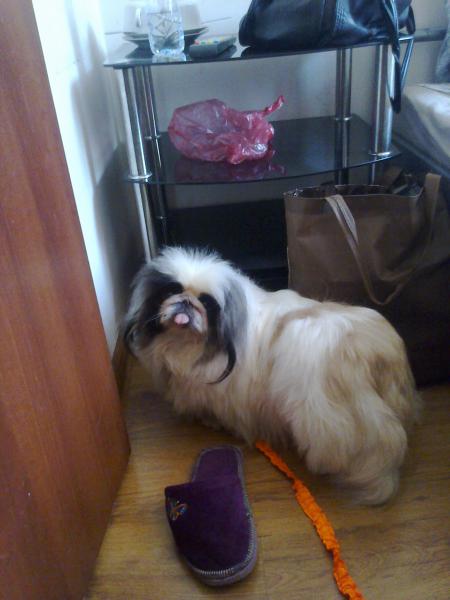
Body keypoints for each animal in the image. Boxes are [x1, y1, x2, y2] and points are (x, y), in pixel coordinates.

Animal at [124, 247, 420, 504]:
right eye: (171, 291)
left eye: (207, 304)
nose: (186, 303)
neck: (187, 344)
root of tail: (383, 354)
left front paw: (213, 421)